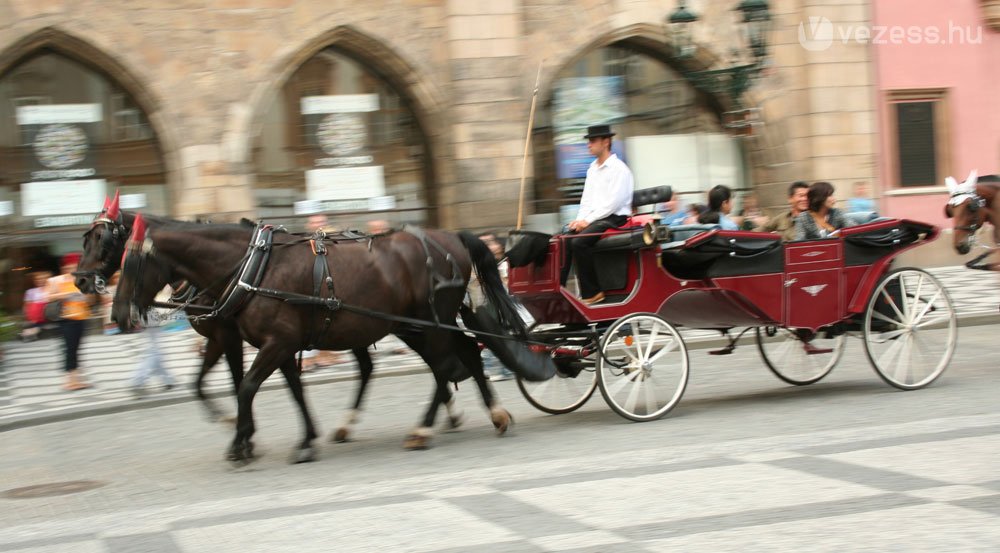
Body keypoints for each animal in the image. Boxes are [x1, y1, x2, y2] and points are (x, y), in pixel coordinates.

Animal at [76, 197, 388, 440]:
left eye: (102, 239)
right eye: (85, 239)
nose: (79, 281)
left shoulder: (230, 336)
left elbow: (239, 382)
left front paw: (244, 433)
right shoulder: (218, 338)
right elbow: (199, 384)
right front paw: (235, 425)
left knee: (366, 367)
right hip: (351, 329)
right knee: (366, 367)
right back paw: (345, 425)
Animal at [114, 218, 552, 464]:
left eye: (131, 264)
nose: (117, 315)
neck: (253, 268)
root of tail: (451, 238)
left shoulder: (273, 342)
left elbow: (247, 388)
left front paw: (241, 442)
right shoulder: (278, 344)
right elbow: (290, 390)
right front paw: (302, 439)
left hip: (430, 322)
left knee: (446, 366)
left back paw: (423, 430)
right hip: (416, 325)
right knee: (463, 358)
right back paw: (492, 414)